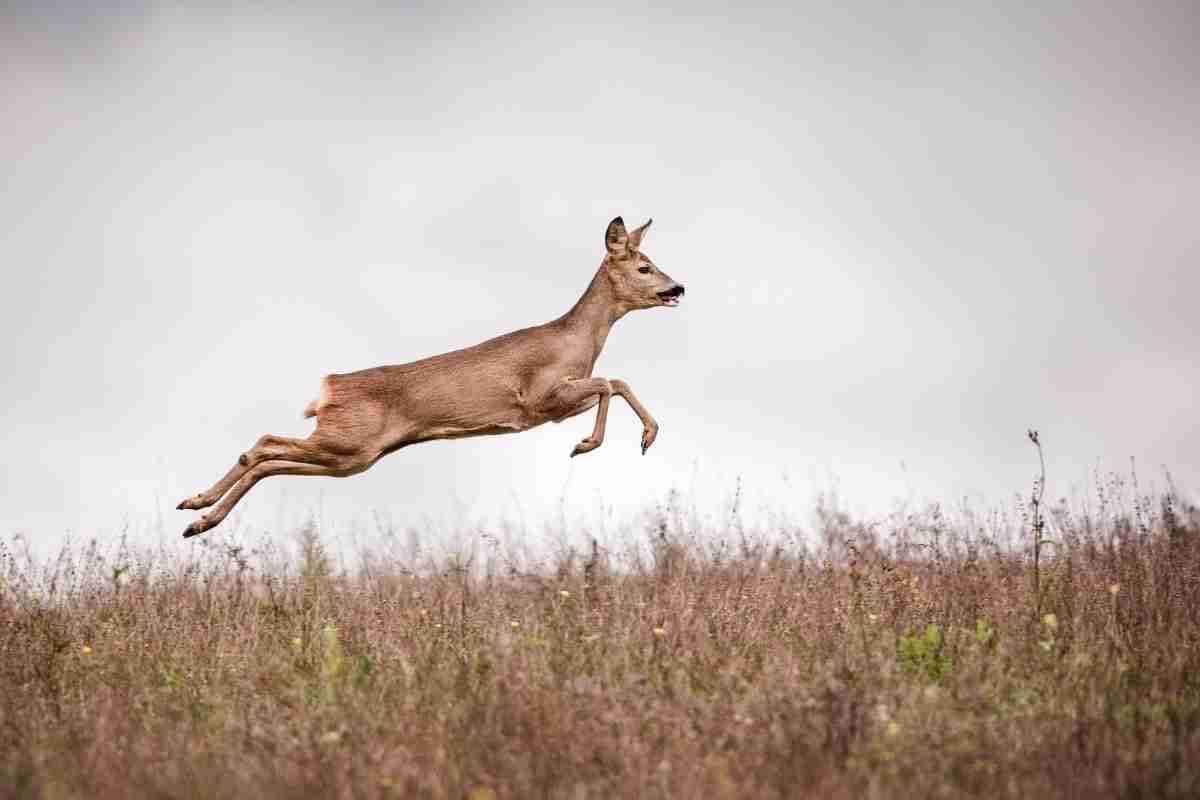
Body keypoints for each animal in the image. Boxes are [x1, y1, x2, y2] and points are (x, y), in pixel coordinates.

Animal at [175, 215, 686, 537]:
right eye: (645, 267)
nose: (678, 287)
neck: (576, 341)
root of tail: (328, 387)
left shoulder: (557, 407)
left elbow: (615, 382)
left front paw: (643, 436)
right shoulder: (537, 398)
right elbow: (610, 383)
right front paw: (593, 444)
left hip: (354, 457)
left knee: (271, 460)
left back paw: (196, 517)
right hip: (347, 440)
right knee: (262, 445)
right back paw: (196, 511)